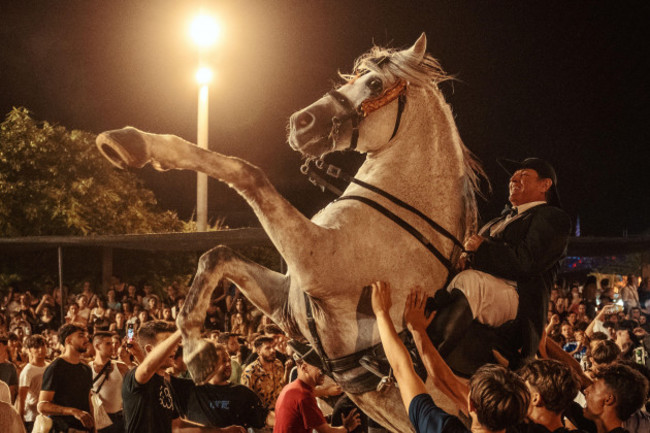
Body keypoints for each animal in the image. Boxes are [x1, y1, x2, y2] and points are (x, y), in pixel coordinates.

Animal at [95, 34, 480, 432]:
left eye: (374, 83)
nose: (300, 122)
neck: (401, 224)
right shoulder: (289, 301)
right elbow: (217, 254)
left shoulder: (317, 265)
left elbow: (247, 173)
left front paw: (197, 351)